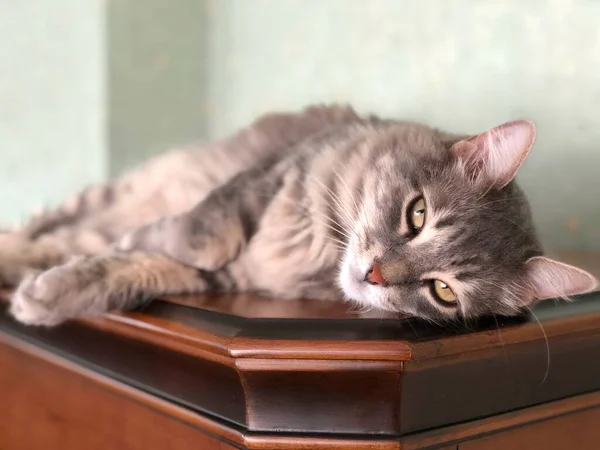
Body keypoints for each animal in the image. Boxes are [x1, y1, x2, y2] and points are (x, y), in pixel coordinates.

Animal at [3, 103, 596, 326]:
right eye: (418, 214)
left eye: (443, 291)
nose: (373, 274)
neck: (318, 252)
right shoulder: (264, 178)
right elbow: (200, 235)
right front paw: (136, 238)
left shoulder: (228, 276)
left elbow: (139, 269)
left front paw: (50, 294)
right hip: (108, 195)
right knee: (46, 226)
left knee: (64, 239)